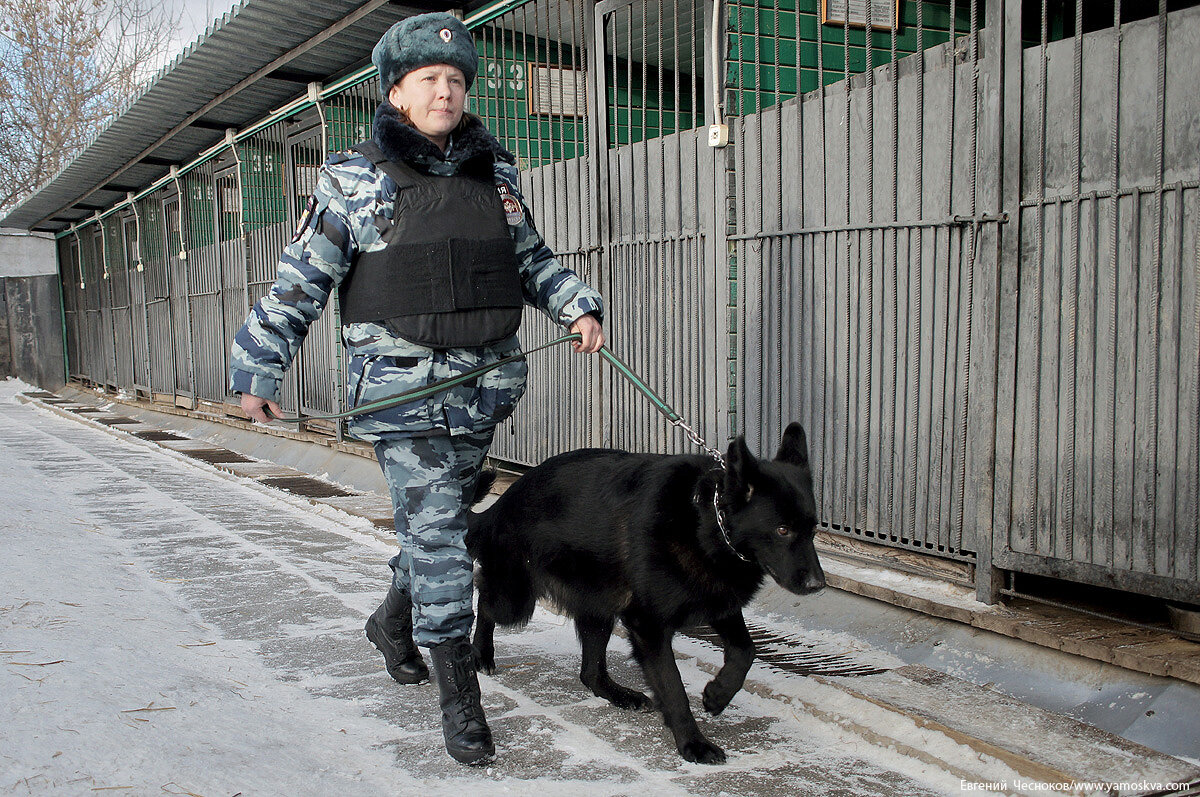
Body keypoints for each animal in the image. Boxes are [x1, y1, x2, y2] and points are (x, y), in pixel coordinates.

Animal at [468, 420, 825, 763]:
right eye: (782, 530)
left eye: (812, 530)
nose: (818, 585)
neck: (705, 521)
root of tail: (504, 502)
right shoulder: (649, 627)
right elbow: (673, 687)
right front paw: (693, 744)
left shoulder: (718, 599)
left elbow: (745, 650)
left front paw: (718, 695)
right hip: (515, 600)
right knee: (483, 600)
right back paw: (481, 654)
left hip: (598, 607)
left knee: (590, 673)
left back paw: (620, 695)